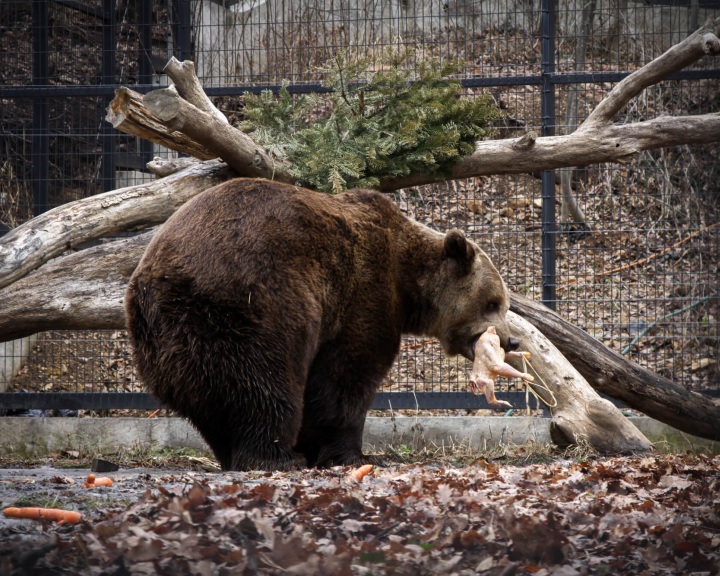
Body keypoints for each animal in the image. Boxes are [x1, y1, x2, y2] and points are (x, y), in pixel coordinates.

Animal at [124, 178, 516, 470]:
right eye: (493, 302)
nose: (511, 341)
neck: (406, 284)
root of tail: (150, 282)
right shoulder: (362, 297)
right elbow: (344, 379)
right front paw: (351, 453)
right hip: (248, 305)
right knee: (265, 381)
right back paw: (278, 456)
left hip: (168, 341)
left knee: (209, 399)